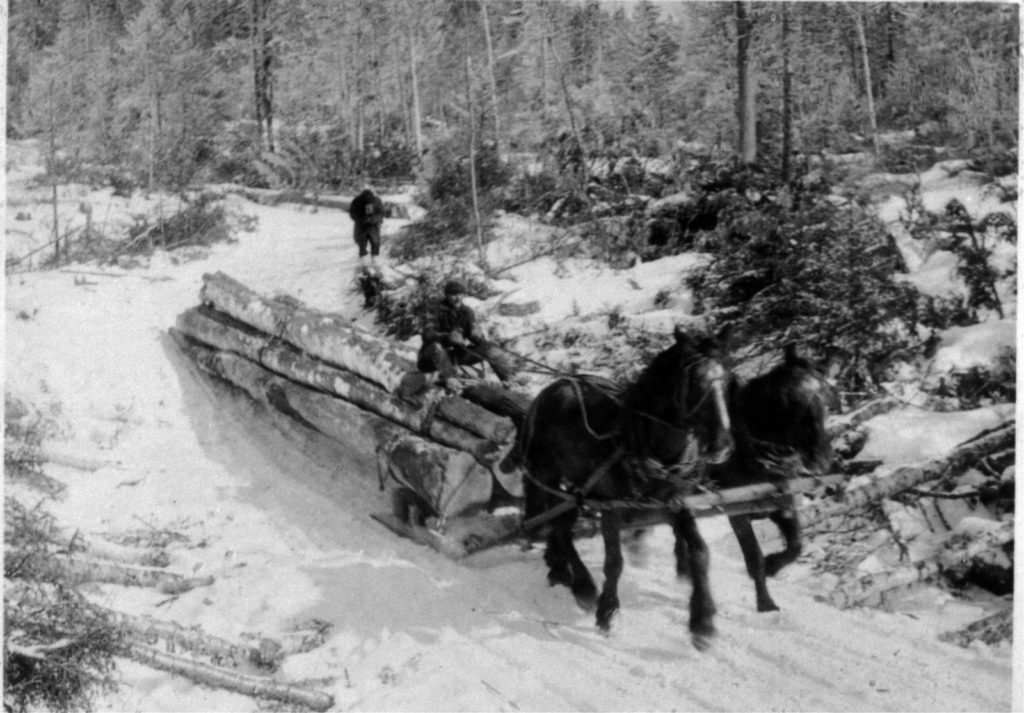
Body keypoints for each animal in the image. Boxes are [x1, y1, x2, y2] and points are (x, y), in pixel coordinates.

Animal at [497, 325, 733, 647]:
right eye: (696, 382)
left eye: (728, 379)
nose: (723, 446)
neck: (644, 441)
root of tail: (552, 388)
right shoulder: (610, 506)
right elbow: (614, 562)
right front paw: (607, 611)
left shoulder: (675, 503)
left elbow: (700, 552)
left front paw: (703, 620)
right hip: (548, 474)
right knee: (559, 525)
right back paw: (582, 585)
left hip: (577, 487)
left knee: (562, 520)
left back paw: (558, 566)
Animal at [692, 344, 835, 614]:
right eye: (791, 397)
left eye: (827, 398)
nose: (820, 460)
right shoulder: (737, 512)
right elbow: (754, 557)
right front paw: (766, 603)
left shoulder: (783, 506)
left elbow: (795, 547)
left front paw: (773, 566)